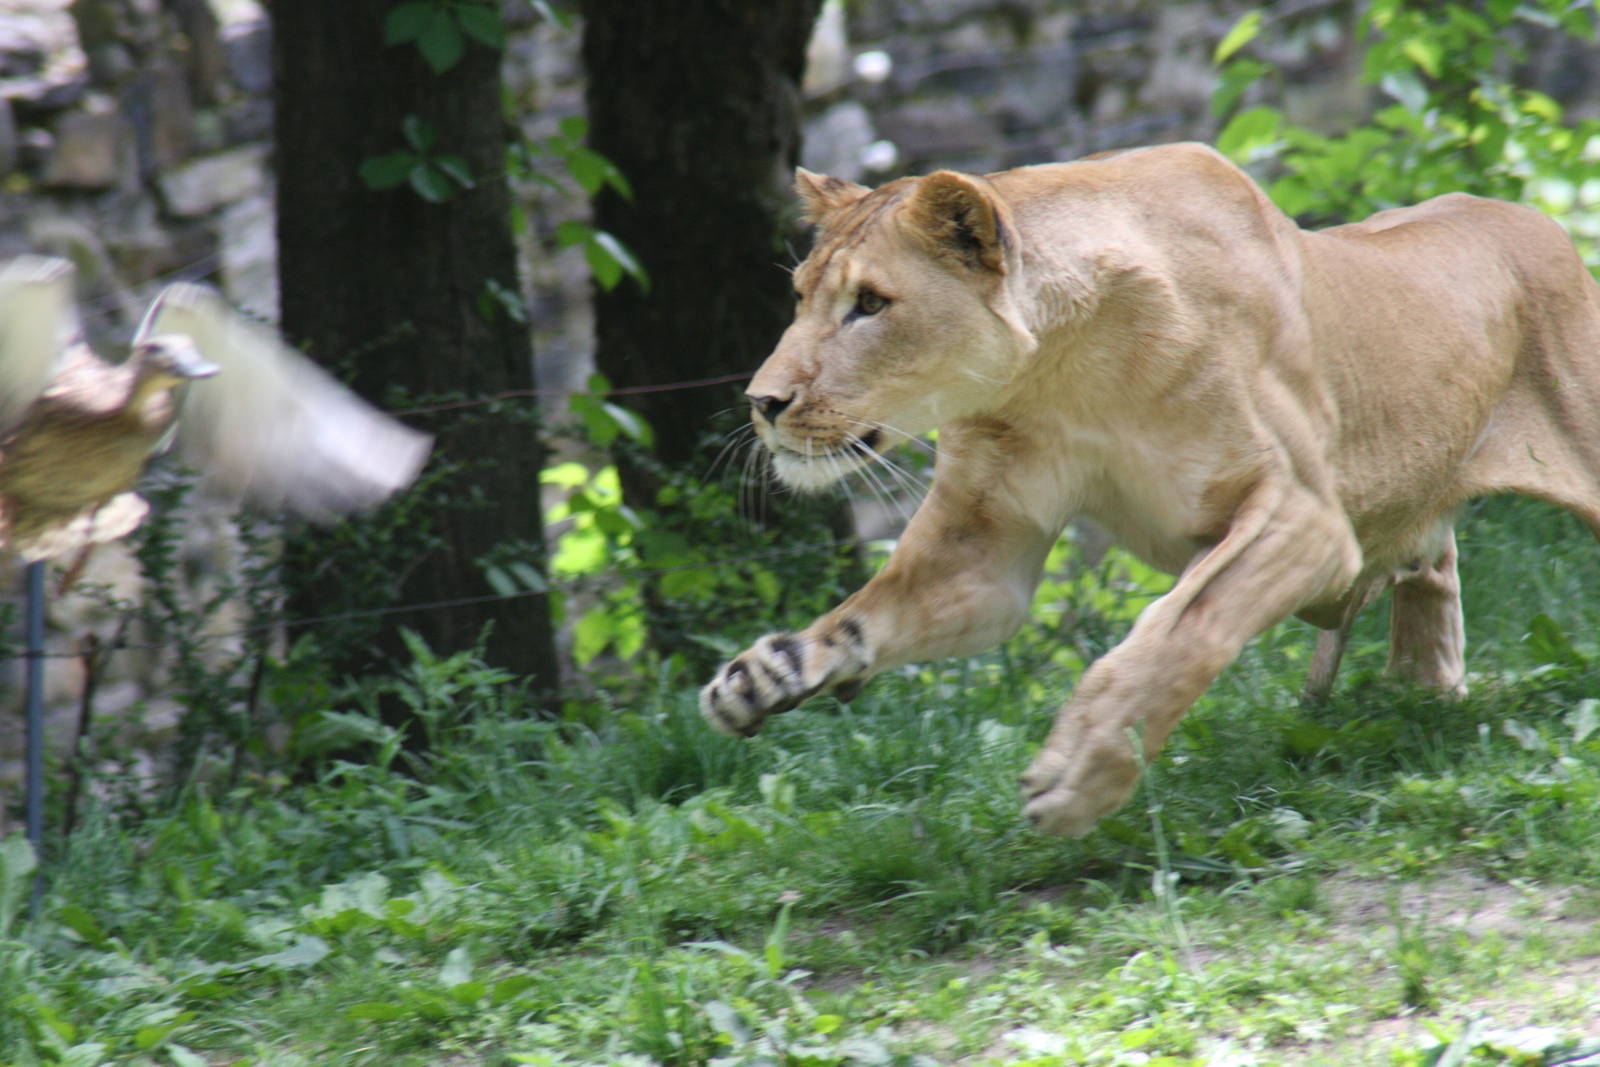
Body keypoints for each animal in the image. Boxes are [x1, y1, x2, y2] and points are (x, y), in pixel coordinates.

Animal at [700, 142, 1600, 836]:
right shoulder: (981, 551)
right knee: (1431, 564)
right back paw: (1425, 695)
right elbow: (870, 614)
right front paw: (767, 673)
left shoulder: (1306, 517)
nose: (761, 402)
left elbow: (1180, 627)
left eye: (871, 304)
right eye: (800, 297)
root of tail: (1530, 217)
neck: (1058, 373)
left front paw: (1080, 773)